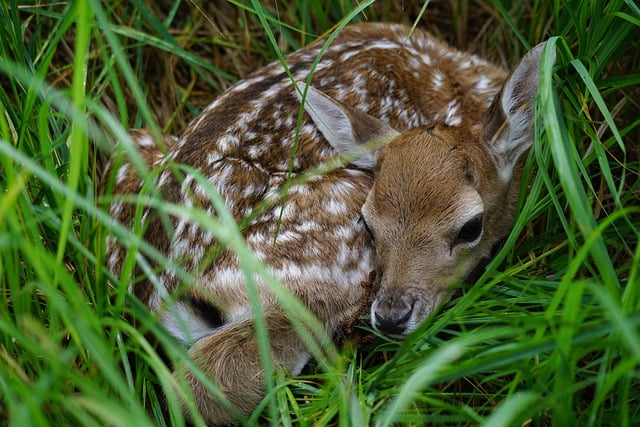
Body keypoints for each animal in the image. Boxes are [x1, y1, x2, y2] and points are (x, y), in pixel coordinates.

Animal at [104, 22, 552, 424]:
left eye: (470, 228)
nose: (391, 317)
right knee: (197, 388)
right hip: (316, 276)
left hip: (134, 147)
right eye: (369, 223)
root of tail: (158, 286)